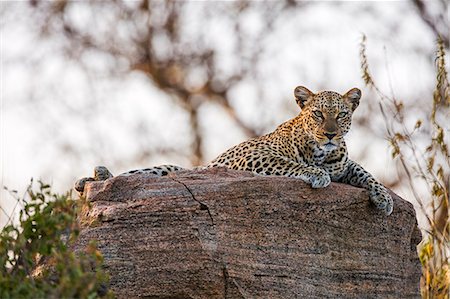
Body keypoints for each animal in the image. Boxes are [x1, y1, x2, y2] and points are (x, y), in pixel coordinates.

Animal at [74, 86, 394, 216]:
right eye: (317, 114)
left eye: (341, 115)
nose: (330, 134)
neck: (323, 154)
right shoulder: (253, 156)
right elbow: (290, 164)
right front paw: (315, 174)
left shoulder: (344, 165)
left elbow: (365, 172)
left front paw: (384, 198)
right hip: (170, 169)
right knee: (133, 175)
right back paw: (93, 178)